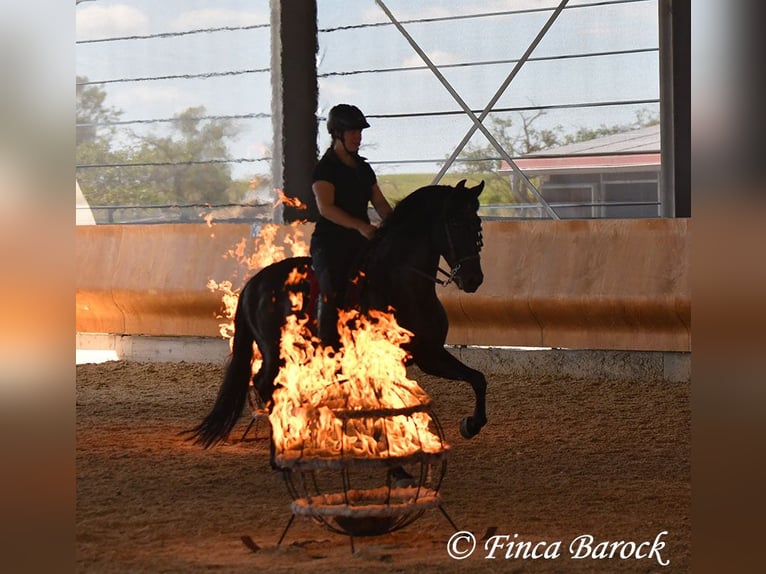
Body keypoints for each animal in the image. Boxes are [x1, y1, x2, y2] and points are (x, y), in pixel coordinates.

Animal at [192, 180, 492, 450]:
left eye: (477, 224)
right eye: (455, 223)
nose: (473, 279)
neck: (400, 284)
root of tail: (256, 283)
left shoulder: (430, 353)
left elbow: (478, 379)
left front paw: (470, 424)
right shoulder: (408, 357)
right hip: (275, 348)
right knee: (265, 382)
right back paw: (287, 431)